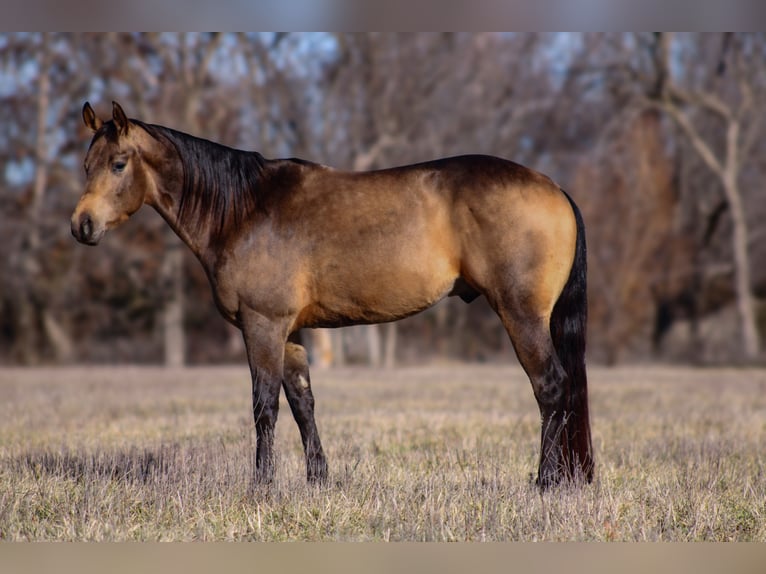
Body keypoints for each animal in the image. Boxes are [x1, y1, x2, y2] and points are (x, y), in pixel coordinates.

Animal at [70, 102, 592, 490]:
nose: (82, 226)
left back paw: (545, 481)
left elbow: (264, 405)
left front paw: (262, 485)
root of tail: (556, 189)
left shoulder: (262, 325)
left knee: (550, 387)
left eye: (119, 164)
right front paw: (318, 479)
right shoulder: (291, 332)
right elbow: (302, 402)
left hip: (521, 315)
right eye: (86, 165)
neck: (243, 210)